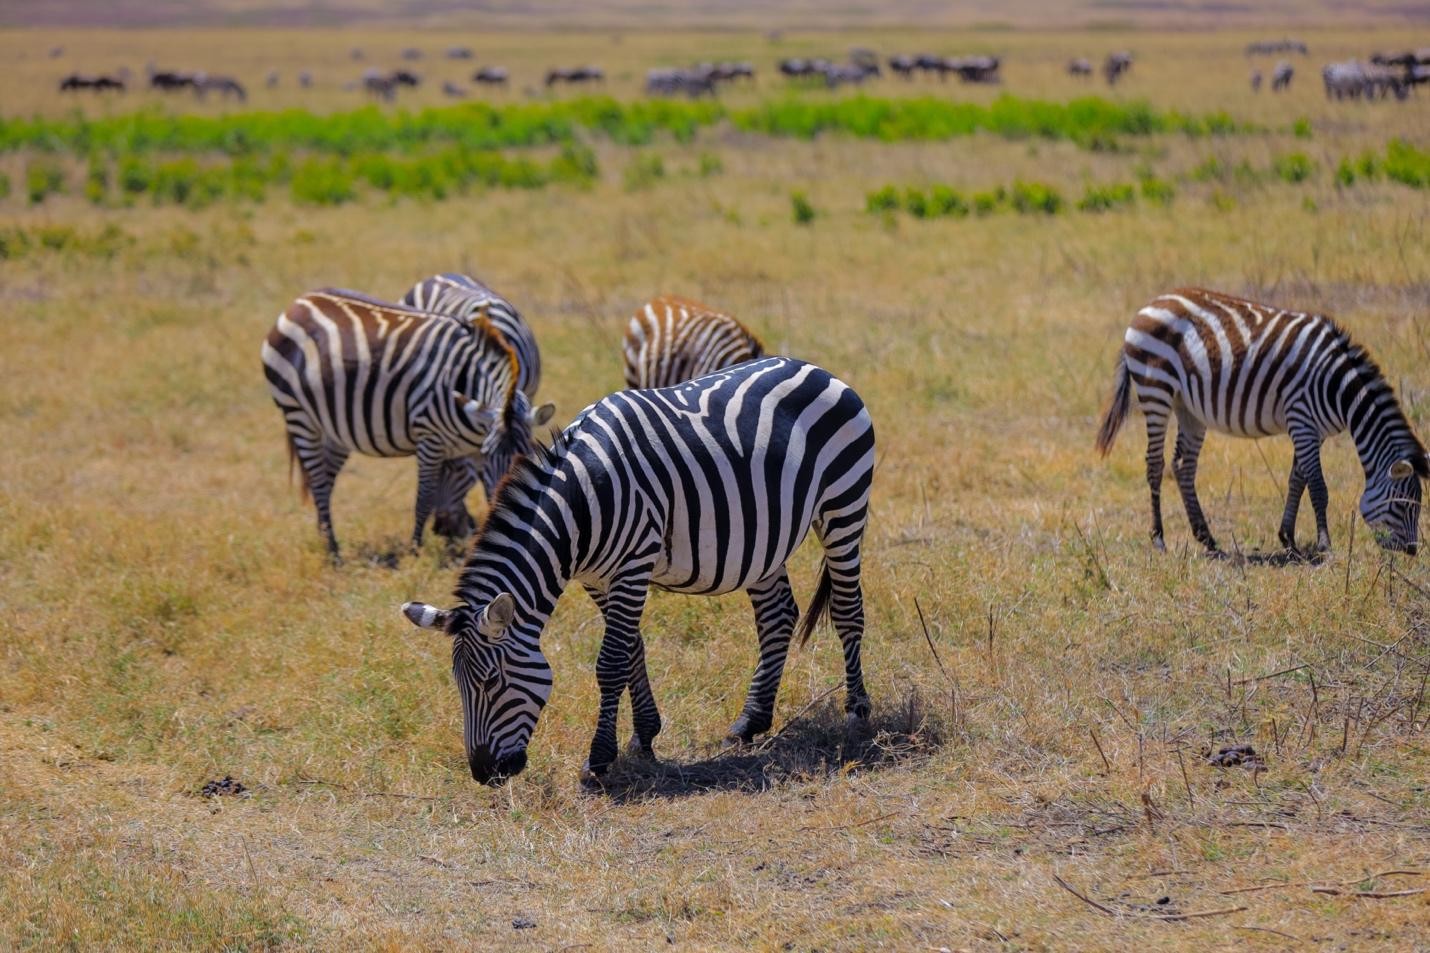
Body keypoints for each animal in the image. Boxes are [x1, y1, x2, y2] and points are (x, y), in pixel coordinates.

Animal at [261, 288, 544, 560]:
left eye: (527, 452)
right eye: (488, 456)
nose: (444, 531)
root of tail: (299, 303)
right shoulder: (430, 437)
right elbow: (425, 498)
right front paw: (415, 551)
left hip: (334, 427)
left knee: (326, 480)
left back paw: (325, 537)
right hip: (298, 413)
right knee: (318, 482)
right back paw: (333, 551)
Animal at [401, 357, 876, 785]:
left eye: (492, 681)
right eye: (458, 685)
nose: (484, 774)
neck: (580, 504)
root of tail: (813, 367)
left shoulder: (632, 566)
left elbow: (611, 661)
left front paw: (598, 760)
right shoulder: (597, 578)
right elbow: (632, 649)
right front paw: (644, 737)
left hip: (844, 507)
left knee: (848, 610)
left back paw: (857, 714)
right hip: (764, 540)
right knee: (777, 617)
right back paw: (750, 722)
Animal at [1096, 287, 1428, 556]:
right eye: (1402, 505)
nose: (1412, 551)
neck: (1340, 389)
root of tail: (1149, 304)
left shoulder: (1312, 430)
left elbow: (1297, 479)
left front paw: (1288, 539)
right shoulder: (1301, 419)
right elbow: (1318, 487)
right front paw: (1324, 545)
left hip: (1187, 407)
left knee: (1182, 465)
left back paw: (1207, 538)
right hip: (1156, 391)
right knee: (1155, 463)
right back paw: (1159, 539)